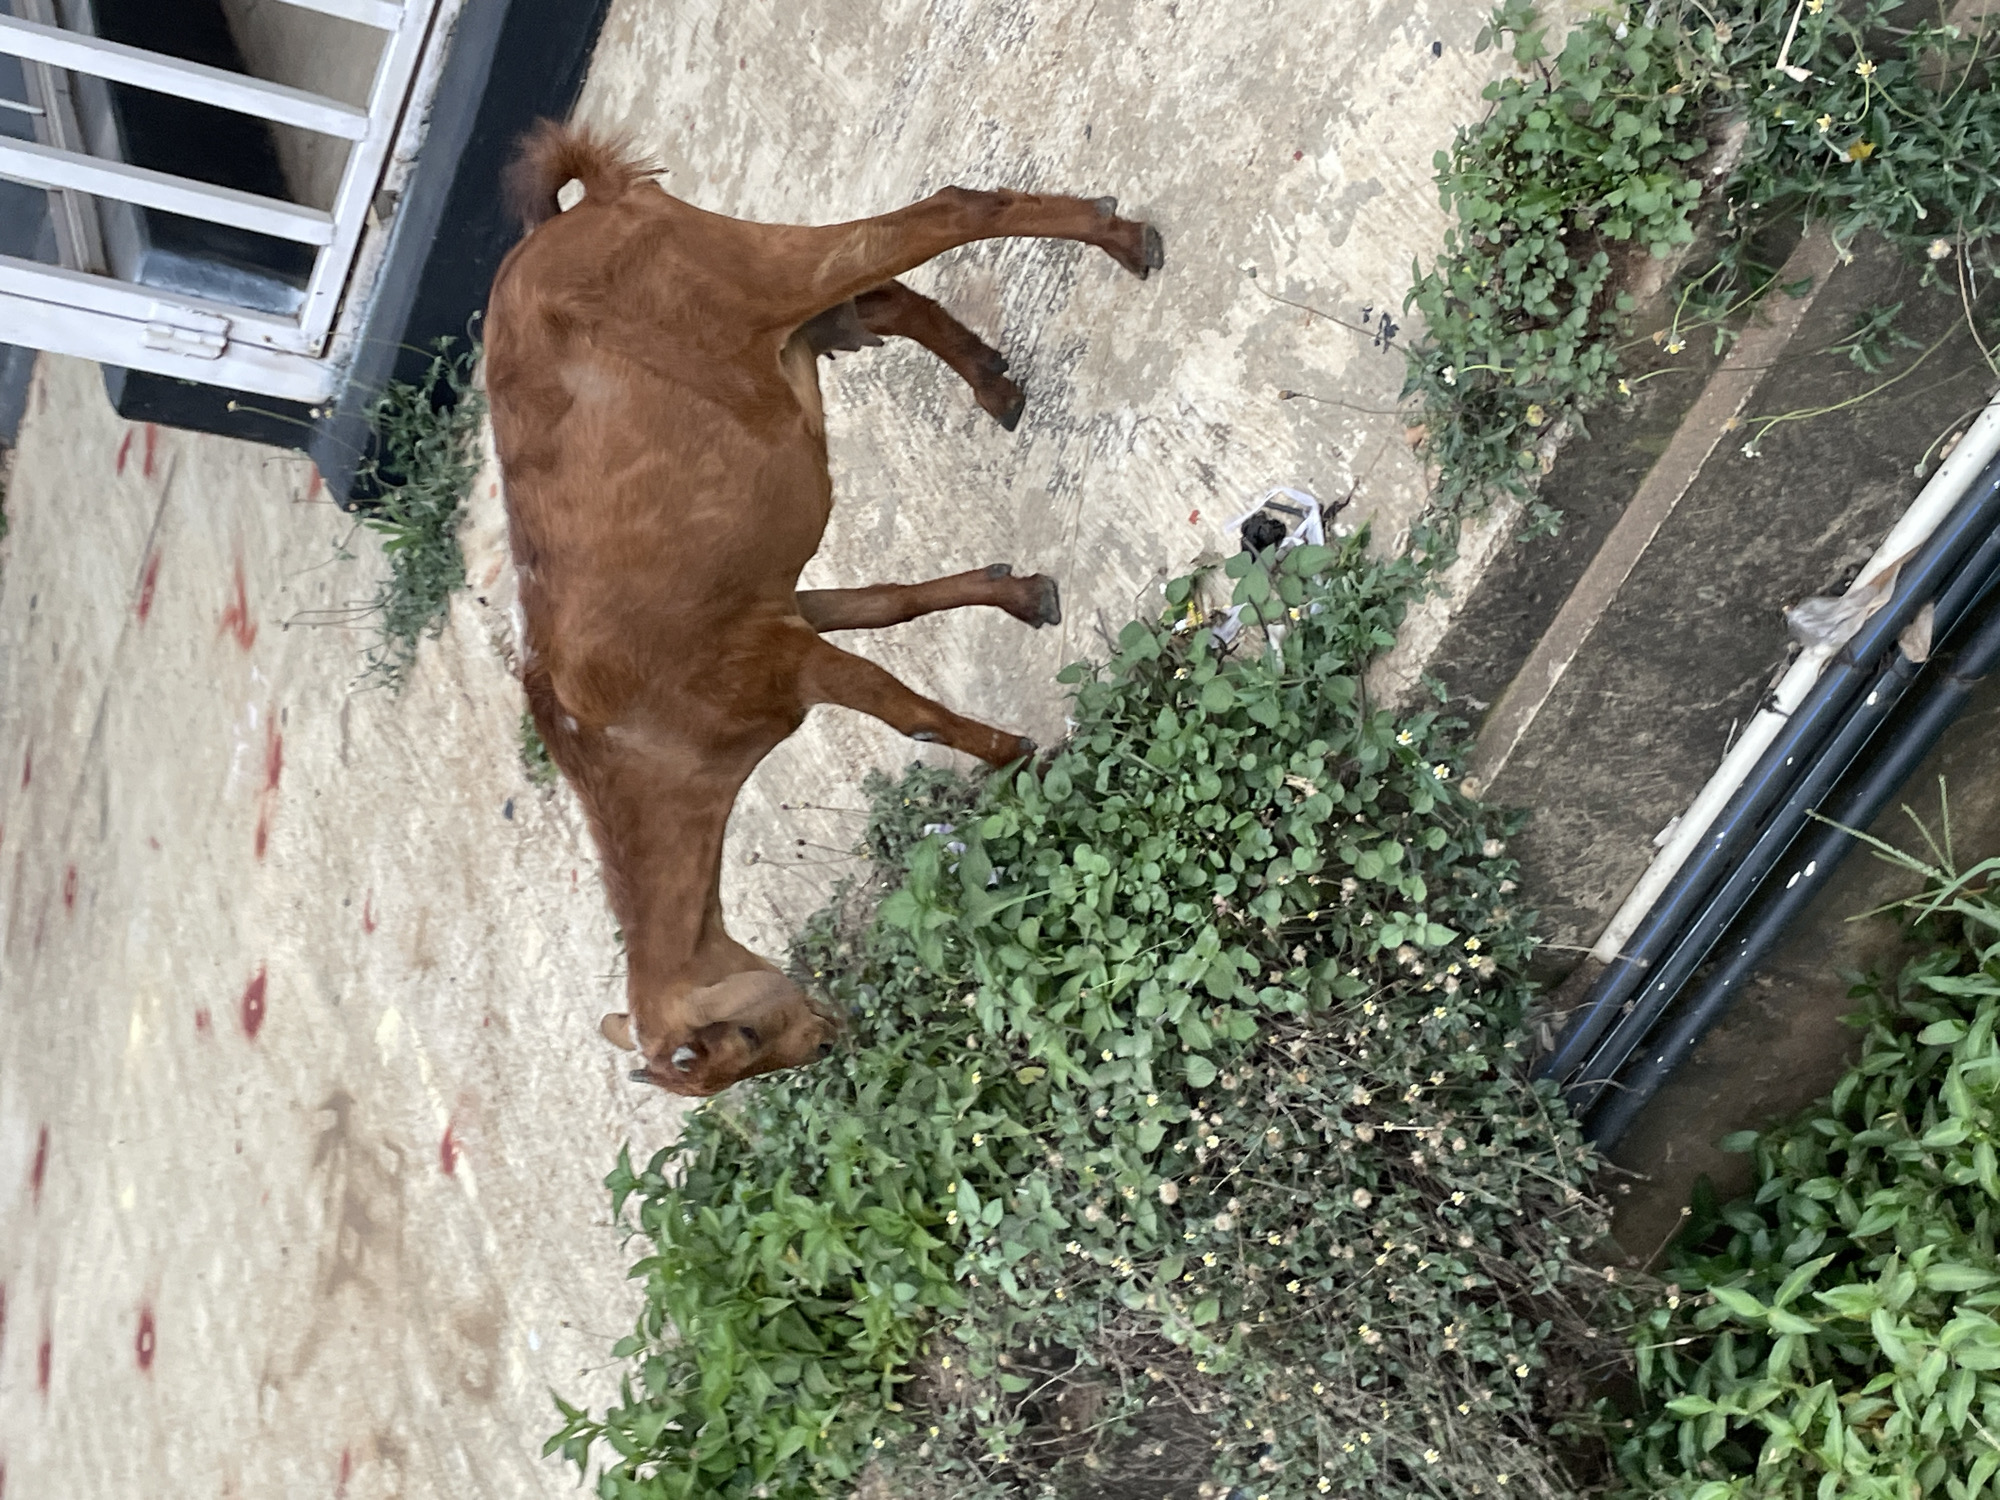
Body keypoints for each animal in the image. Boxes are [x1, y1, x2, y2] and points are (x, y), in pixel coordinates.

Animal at [483, 122, 1163, 1096]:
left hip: (756, 269)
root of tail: (587, 208)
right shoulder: (787, 611)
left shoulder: (780, 659)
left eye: (740, 1045)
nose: (837, 1033)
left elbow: (909, 712)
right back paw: (994, 383)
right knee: (876, 300)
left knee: (941, 216)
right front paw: (1022, 592)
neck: (630, 739)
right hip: (790, 322)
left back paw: (1122, 240)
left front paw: (1015, 756)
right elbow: (887, 602)